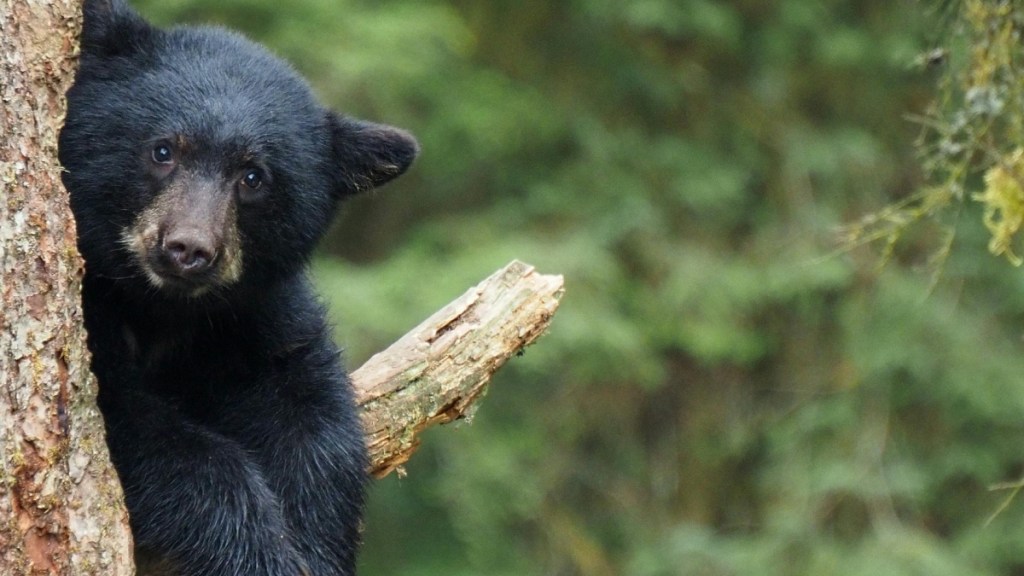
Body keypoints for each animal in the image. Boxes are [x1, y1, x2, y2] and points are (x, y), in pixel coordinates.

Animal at [58, 1, 418, 574]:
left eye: (253, 177)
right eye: (163, 150)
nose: (188, 249)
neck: (163, 309)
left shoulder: (255, 315)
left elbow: (312, 418)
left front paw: (318, 544)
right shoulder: (93, 314)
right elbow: (153, 434)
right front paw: (258, 553)